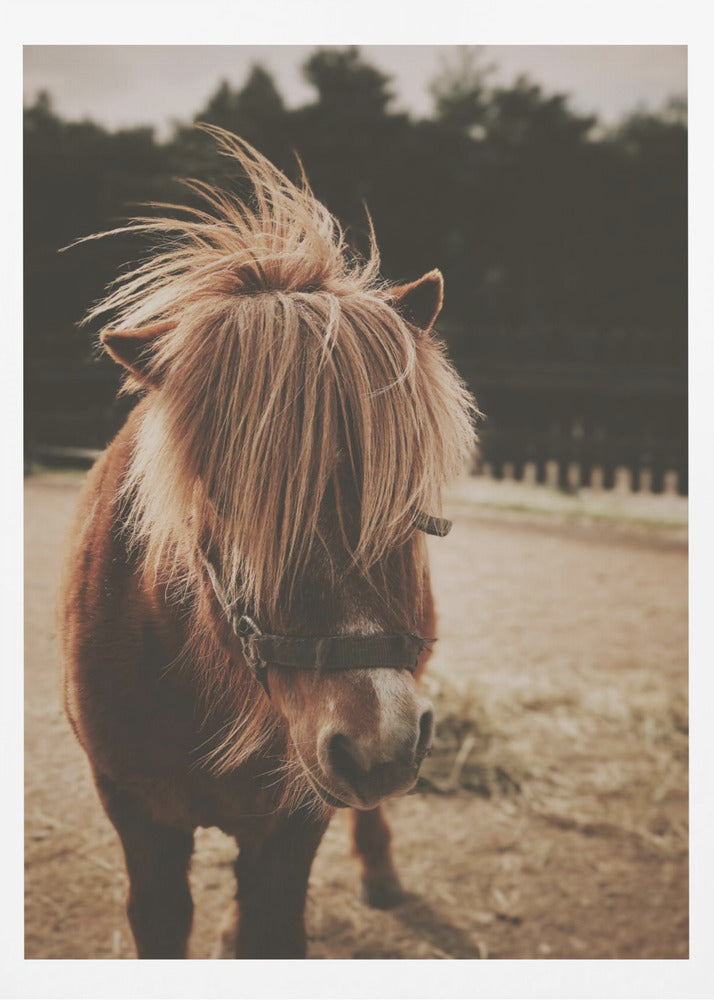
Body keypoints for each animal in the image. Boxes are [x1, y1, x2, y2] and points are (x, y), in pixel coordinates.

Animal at [58, 126, 477, 959]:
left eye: (405, 490)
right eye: (225, 500)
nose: (376, 742)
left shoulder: (293, 825)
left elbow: (272, 924)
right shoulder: (139, 820)